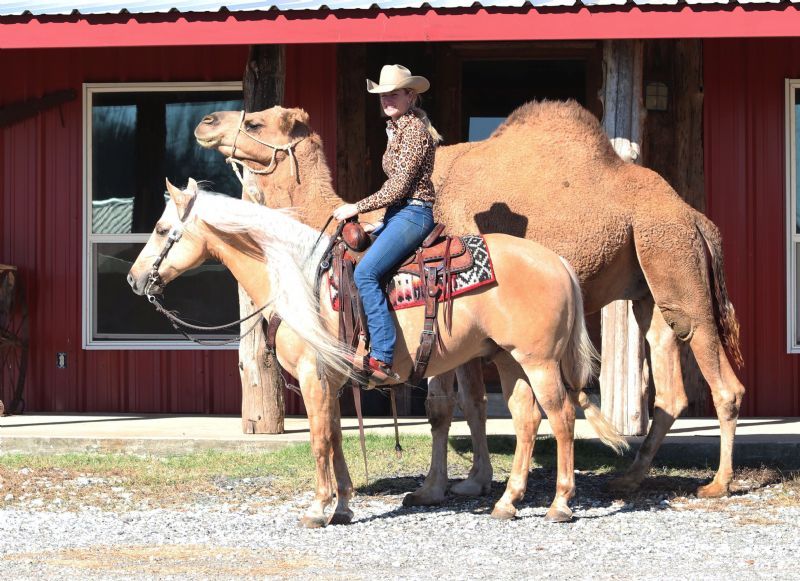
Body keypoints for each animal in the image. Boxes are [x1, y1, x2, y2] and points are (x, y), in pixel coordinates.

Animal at [127, 178, 627, 527]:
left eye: (162, 229)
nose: (134, 279)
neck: (297, 279)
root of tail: (556, 261)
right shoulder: (330, 379)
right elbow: (335, 438)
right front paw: (343, 506)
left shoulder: (312, 375)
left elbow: (319, 440)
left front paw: (318, 508)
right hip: (509, 359)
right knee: (526, 419)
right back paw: (507, 502)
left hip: (539, 361)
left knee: (561, 418)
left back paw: (560, 504)